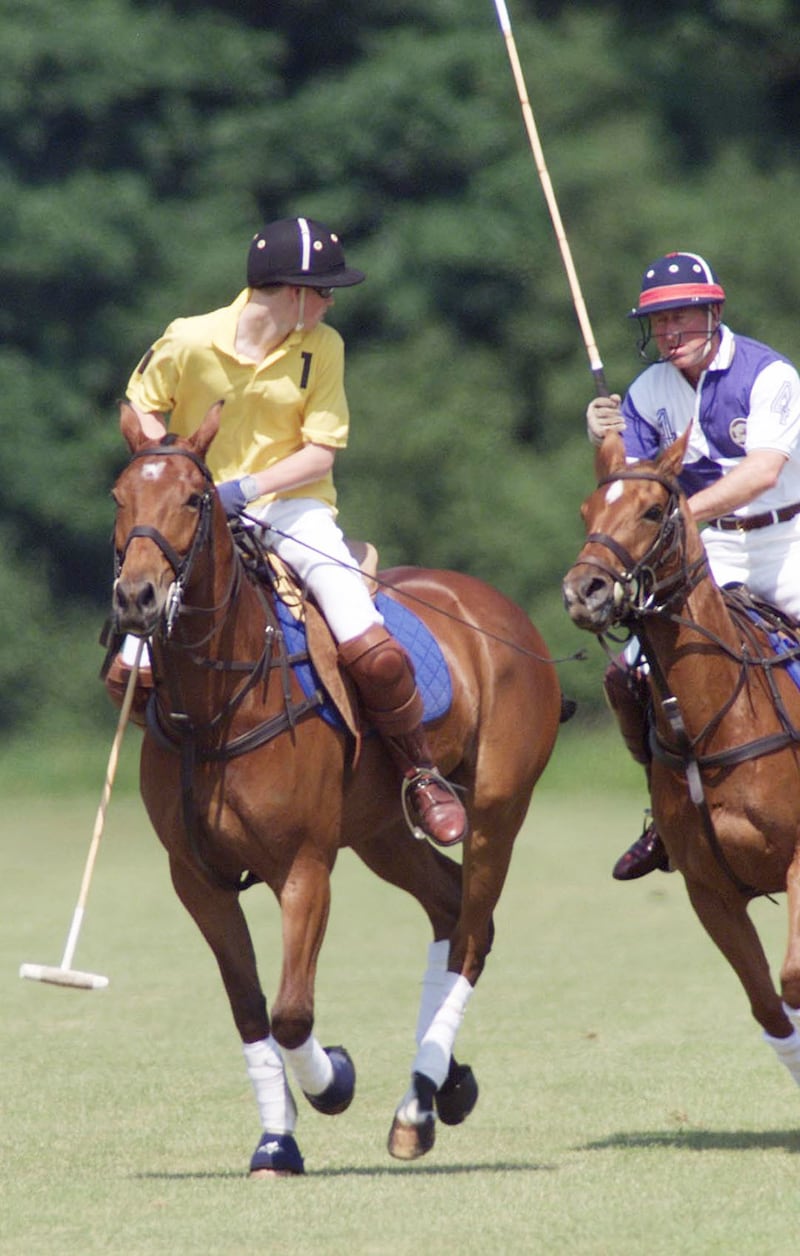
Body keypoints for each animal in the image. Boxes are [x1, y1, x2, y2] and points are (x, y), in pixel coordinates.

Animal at [109, 404, 565, 1175]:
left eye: (196, 499)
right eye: (119, 497)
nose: (137, 597)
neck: (216, 702)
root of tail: (499, 608)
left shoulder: (305, 865)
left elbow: (293, 1012)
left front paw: (335, 1082)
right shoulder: (195, 878)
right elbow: (250, 1009)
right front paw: (275, 1138)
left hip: (498, 811)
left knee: (472, 932)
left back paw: (417, 1106)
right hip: (382, 831)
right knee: (449, 910)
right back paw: (440, 1089)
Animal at [562, 427, 798, 1095]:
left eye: (650, 511)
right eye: (587, 512)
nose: (583, 591)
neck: (720, 716)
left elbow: (793, 979)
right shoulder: (707, 890)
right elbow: (769, 1005)